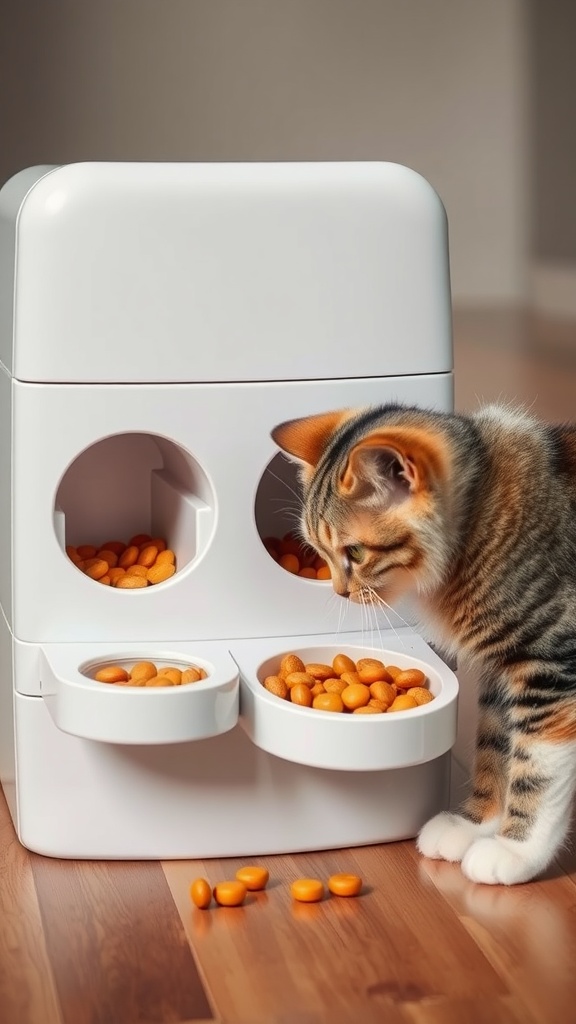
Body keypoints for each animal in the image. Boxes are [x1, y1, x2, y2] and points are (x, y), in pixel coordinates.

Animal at [270, 403, 573, 884]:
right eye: (319, 551)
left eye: (355, 553)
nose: (339, 592)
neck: (478, 521)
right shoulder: (500, 670)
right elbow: (494, 747)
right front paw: (474, 825)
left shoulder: (549, 665)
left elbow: (535, 769)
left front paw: (514, 850)